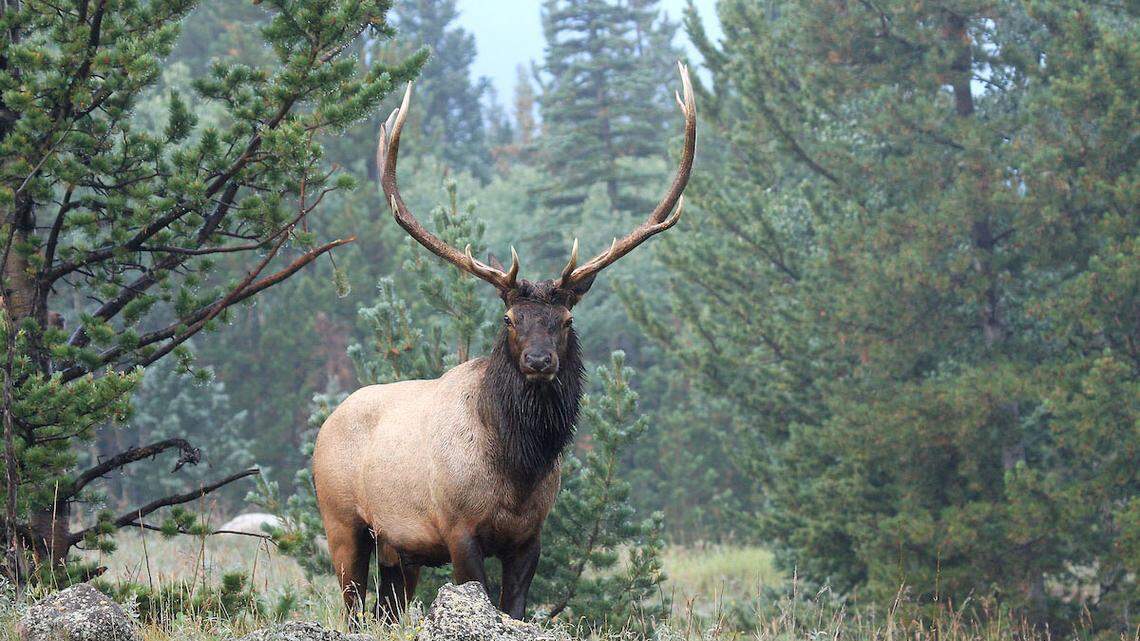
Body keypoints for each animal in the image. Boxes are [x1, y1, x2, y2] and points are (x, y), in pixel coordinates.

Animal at [312, 62, 695, 623]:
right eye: (510, 318)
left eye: (565, 319)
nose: (538, 360)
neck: (518, 472)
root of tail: (325, 425)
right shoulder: (457, 528)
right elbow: (481, 597)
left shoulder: (529, 536)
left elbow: (514, 606)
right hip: (343, 522)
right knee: (352, 602)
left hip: (399, 549)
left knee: (385, 606)